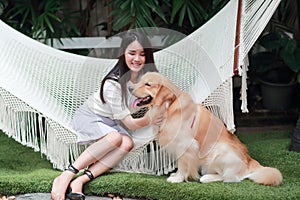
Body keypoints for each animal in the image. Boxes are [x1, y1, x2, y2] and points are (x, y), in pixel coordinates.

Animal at [132, 72, 282, 186]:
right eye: (140, 81)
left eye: (147, 84)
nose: (131, 89)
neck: (169, 106)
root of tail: (250, 161)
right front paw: (179, 175)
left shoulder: (185, 144)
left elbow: (182, 163)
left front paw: (178, 178)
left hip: (218, 151)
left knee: (229, 177)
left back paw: (207, 177)